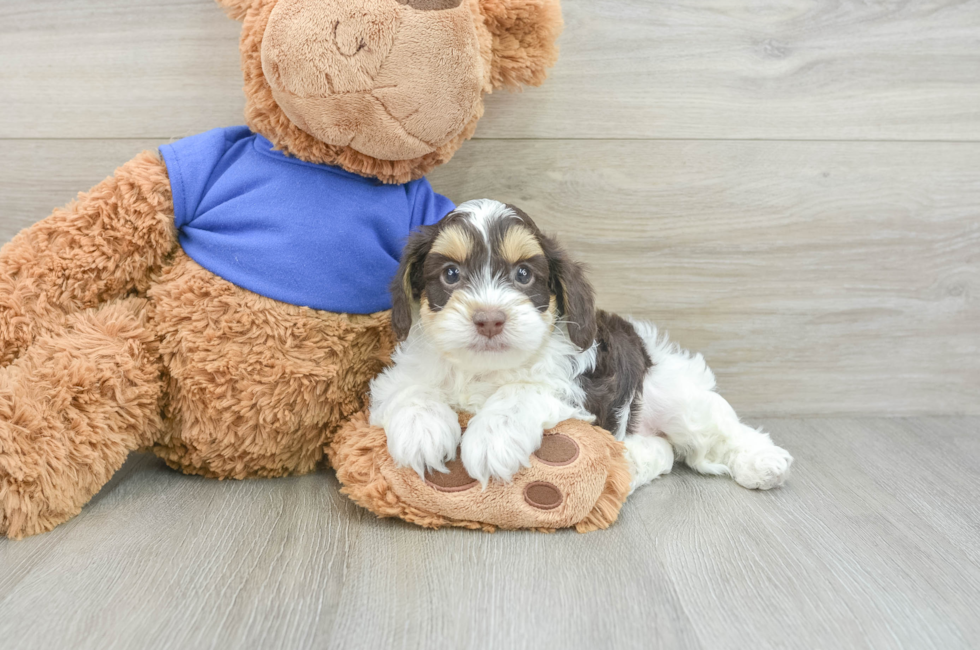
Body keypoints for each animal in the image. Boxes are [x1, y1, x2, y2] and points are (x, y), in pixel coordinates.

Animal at [372, 199, 792, 492]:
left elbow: (521, 392)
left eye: (523, 274)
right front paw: (421, 431)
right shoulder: (400, 375)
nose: (489, 319)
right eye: (451, 274)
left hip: (675, 396)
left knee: (717, 431)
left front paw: (493, 438)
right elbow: (410, 389)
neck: (484, 368)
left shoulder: (578, 391)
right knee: (665, 451)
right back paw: (630, 462)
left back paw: (764, 462)